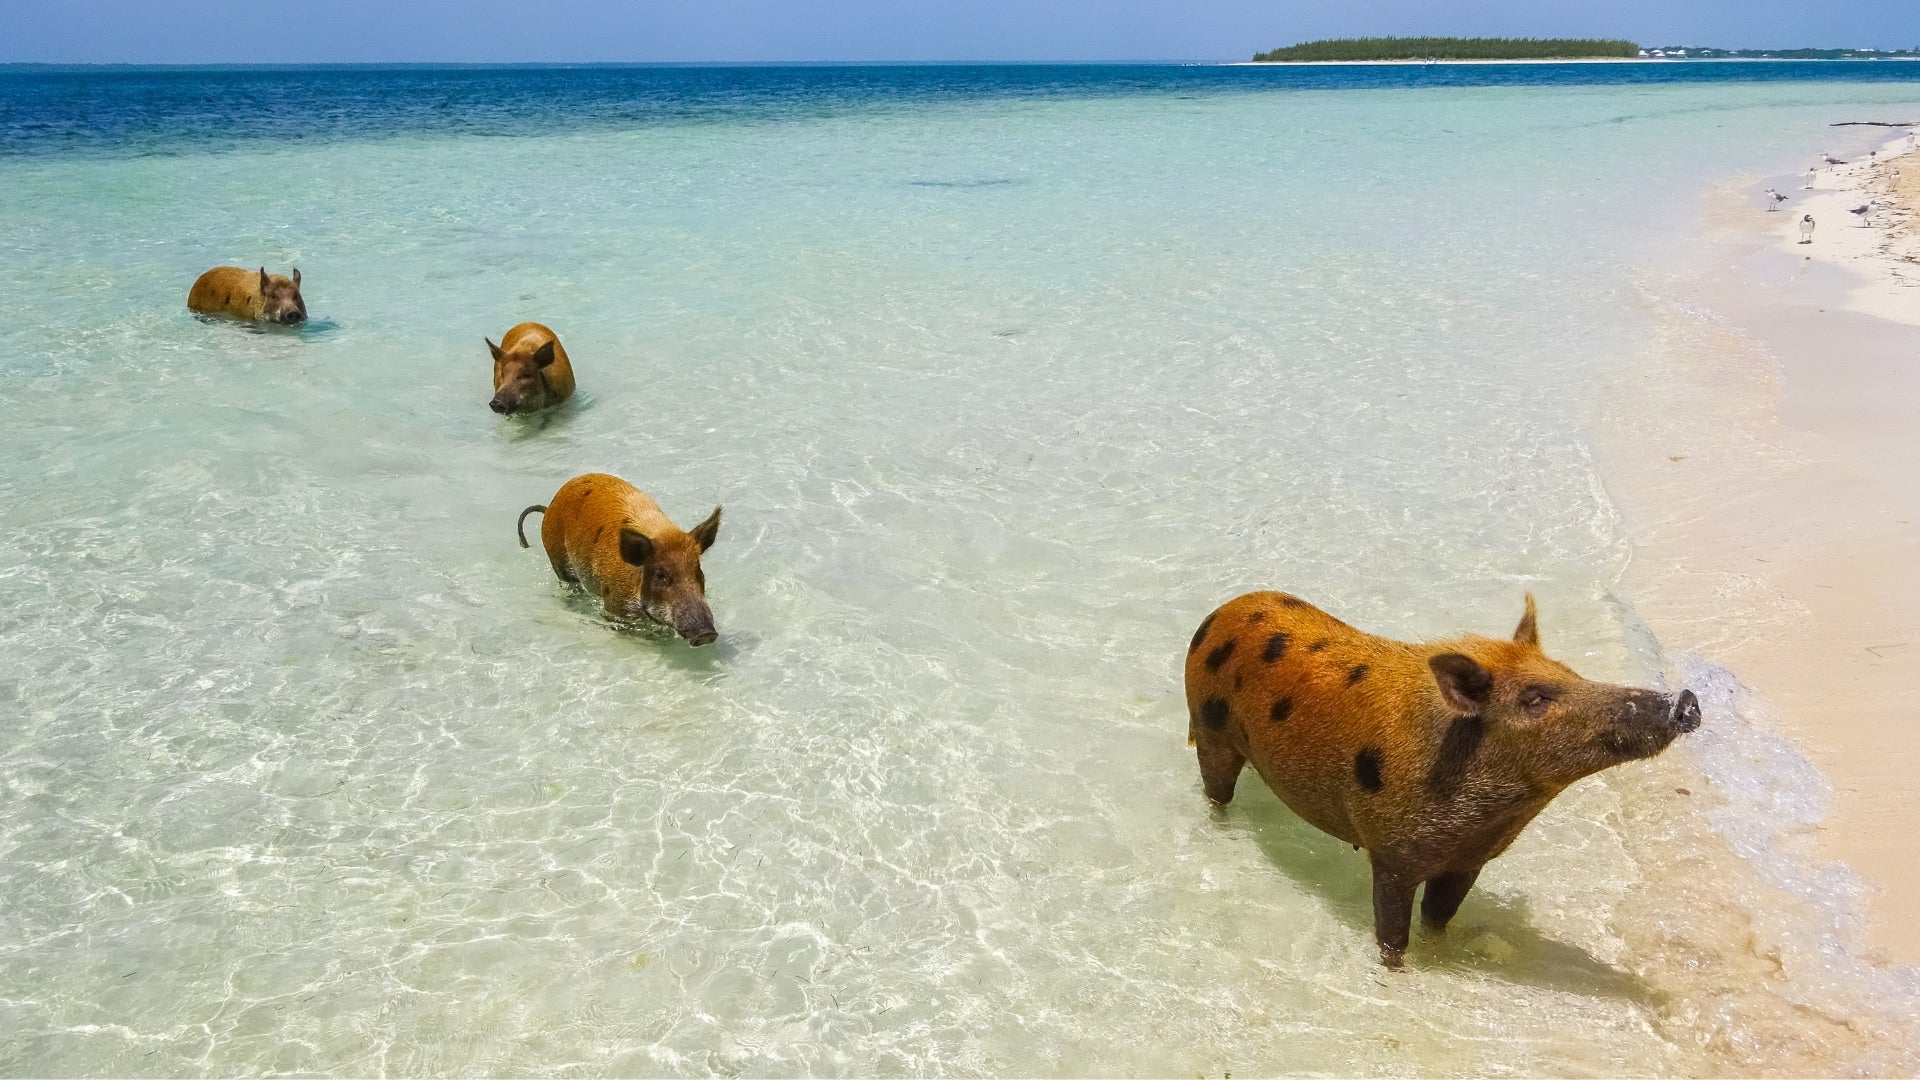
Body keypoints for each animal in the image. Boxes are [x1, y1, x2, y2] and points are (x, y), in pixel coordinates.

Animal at [517, 473, 721, 646]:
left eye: (698, 570)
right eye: (661, 575)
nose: (706, 633)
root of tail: (549, 508)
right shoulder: (614, 607)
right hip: (558, 560)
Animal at [1183, 591, 1700, 968]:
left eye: (1572, 673)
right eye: (1535, 698)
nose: (1686, 701)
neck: (1492, 814)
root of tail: (1222, 611)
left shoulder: (1469, 861)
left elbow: (1438, 918)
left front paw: (1447, 950)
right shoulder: (1392, 854)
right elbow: (1392, 933)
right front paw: (1395, 971)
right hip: (1208, 727)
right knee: (1216, 789)